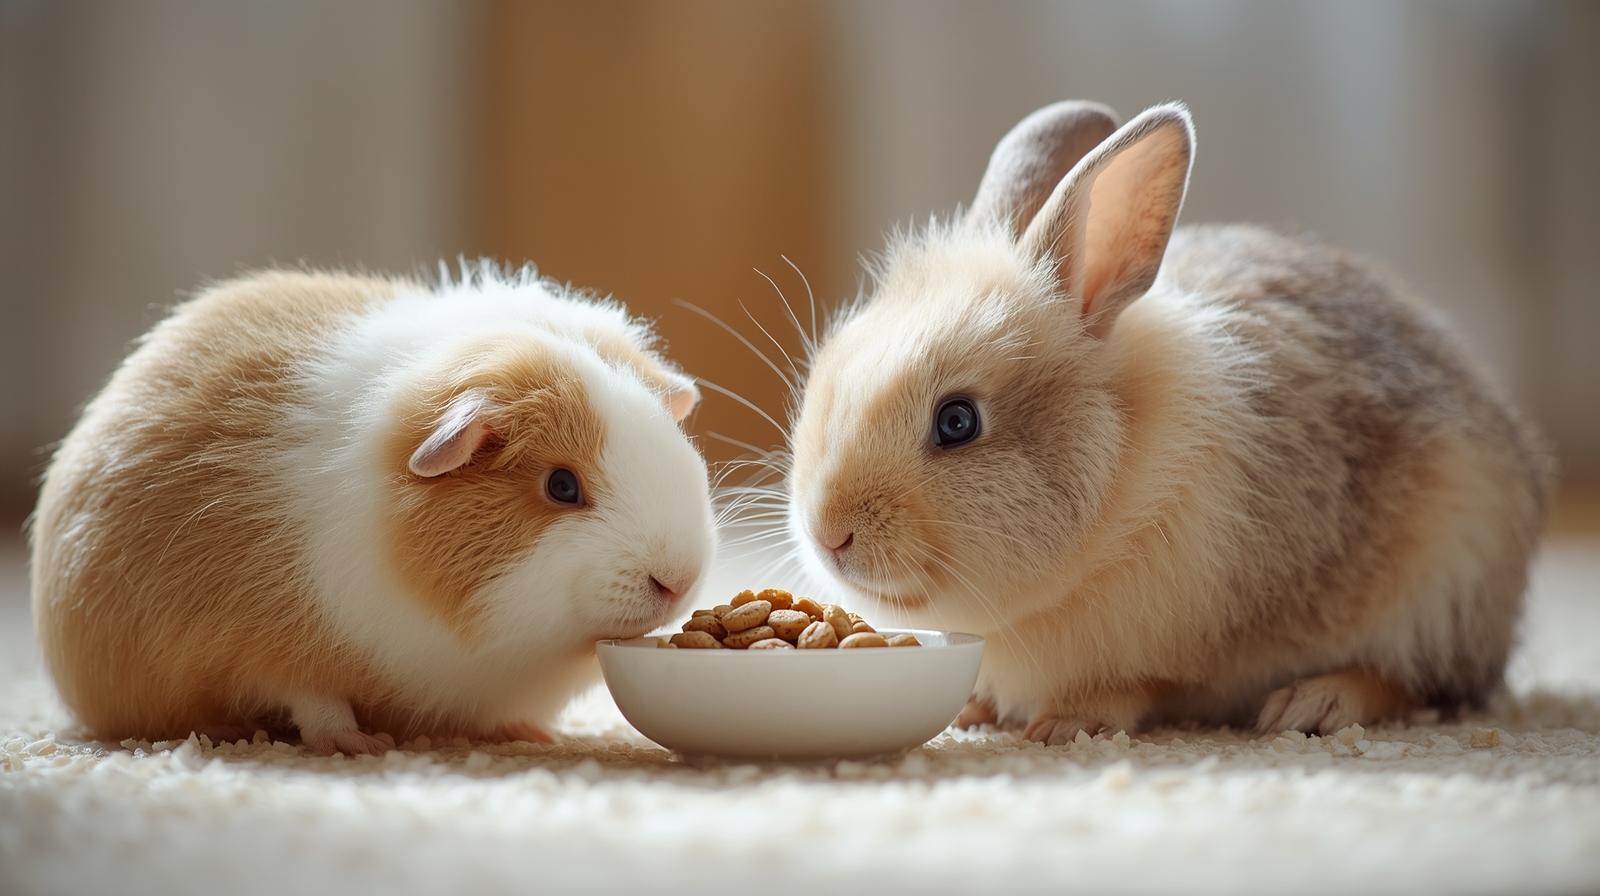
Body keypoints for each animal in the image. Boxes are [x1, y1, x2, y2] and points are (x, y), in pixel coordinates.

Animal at [30, 262, 713, 753]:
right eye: (562, 487)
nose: (677, 582)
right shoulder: (272, 648)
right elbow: (315, 701)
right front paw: (363, 745)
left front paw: (525, 733)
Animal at [785, 100, 1552, 742]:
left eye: (957, 422)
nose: (830, 534)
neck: (1117, 492)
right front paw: (976, 710)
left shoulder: (1163, 651)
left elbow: (1132, 688)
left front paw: (1063, 727)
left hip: (1442, 585)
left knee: (1424, 685)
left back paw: (1314, 704)